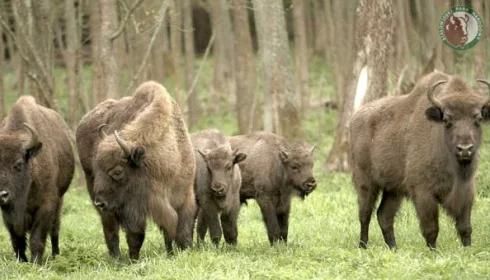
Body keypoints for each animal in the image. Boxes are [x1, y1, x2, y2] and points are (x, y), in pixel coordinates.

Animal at [0, 96, 74, 262]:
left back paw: (55, 254)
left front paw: (36, 261)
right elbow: (17, 239)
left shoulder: (46, 206)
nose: (1, 194)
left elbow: (37, 238)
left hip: (60, 199)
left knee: (55, 228)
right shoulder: (8, 214)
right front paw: (21, 260)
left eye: (18, 164)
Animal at [76, 81, 195, 260]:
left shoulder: (183, 197)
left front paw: (175, 253)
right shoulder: (134, 208)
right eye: (97, 171)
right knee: (111, 231)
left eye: (118, 171)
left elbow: (179, 231)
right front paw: (133, 259)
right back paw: (116, 259)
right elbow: (136, 235)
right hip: (105, 205)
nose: (100, 202)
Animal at [348, 71, 490, 249]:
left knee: (384, 215)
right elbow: (431, 229)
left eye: (477, 118)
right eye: (447, 120)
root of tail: (355, 118)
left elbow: (465, 227)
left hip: (394, 190)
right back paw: (363, 246)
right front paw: (433, 252)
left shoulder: (466, 192)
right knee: (365, 214)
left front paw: (467, 249)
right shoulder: (423, 193)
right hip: (366, 182)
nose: (465, 149)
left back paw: (393, 248)